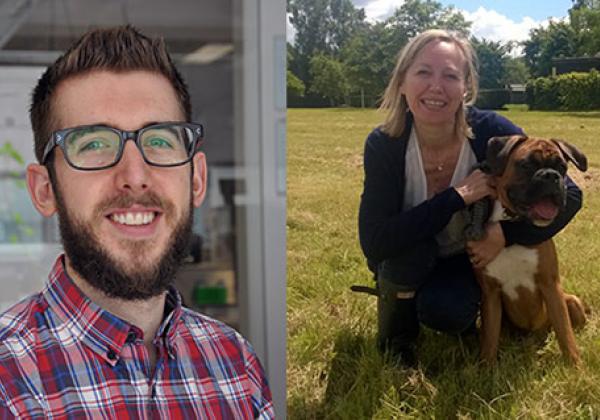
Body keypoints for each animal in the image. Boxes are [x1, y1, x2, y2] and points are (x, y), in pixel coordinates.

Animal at [476, 135, 588, 364]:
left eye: (562, 167)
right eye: (526, 165)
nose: (551, 176)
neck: (512, 221)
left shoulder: (551, 286)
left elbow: (566, 335)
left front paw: (575, 366)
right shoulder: (490, 294)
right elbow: (489, 338)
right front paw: (486, 366)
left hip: (571, 300)